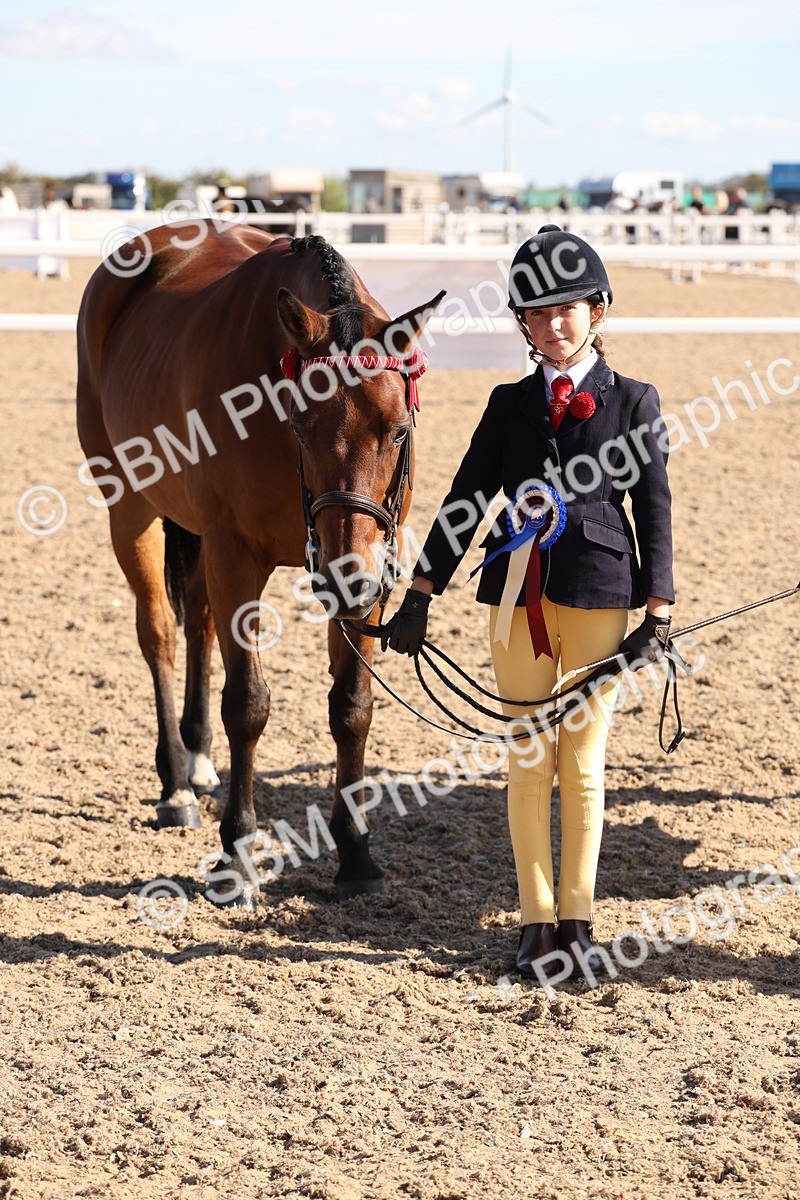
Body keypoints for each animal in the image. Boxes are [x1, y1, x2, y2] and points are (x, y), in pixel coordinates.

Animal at [76, 220, 443, 906]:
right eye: (301, 426)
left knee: (197, 621)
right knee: (160, 632)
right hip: (129, 506)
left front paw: (356, 852)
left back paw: (197, 761)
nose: (347, 579)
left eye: (399, 430)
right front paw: (238, 853)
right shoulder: (235, 555)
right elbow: (247, 704)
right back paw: (176, 785)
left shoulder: (372, 567)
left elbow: (352, 707)